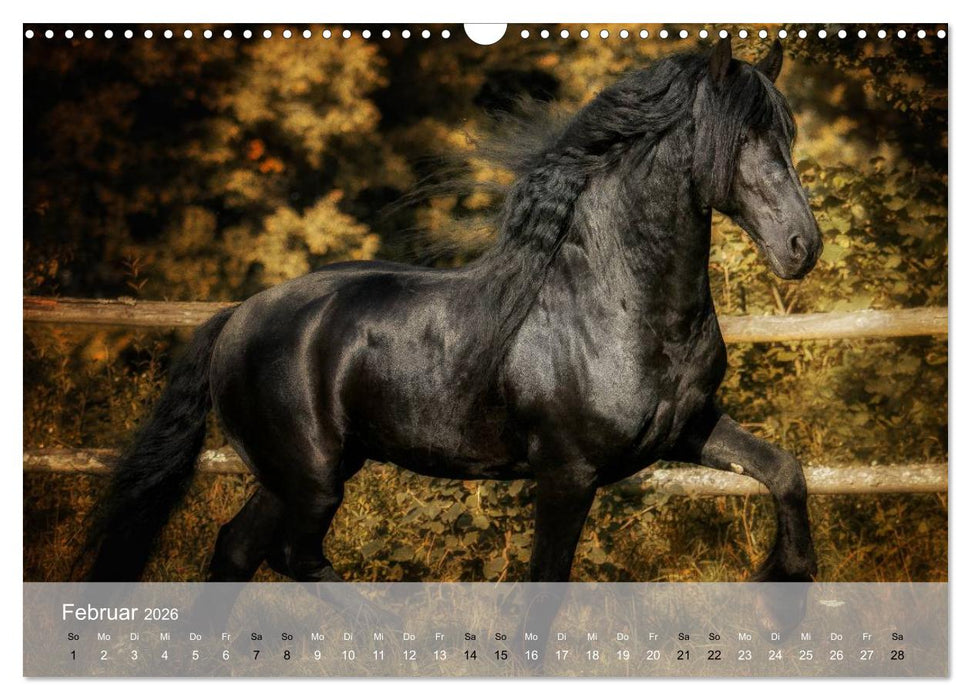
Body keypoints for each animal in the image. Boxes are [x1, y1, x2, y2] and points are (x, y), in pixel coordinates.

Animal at [86, 38, 822, 585]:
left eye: (785, 134)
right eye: (740, 139)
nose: (802, 246)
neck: (615, 307)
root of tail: (236, 316)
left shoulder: (687, 429)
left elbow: (783, 470)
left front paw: (786, 575)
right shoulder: (567, 473)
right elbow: (544, 586)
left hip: (295, 473)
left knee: (238, 550)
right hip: (313, 474)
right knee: (294, 556)